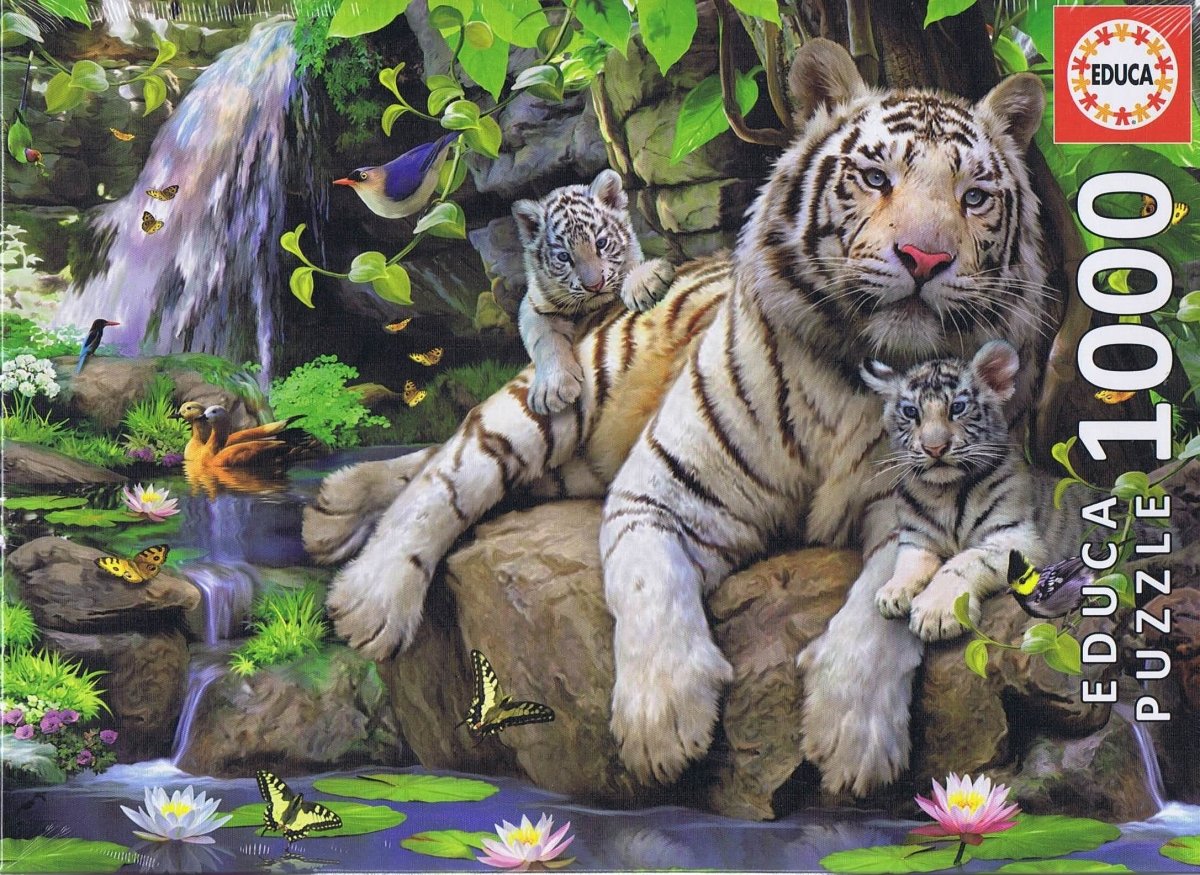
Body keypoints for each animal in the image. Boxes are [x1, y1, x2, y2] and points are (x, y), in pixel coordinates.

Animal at [514, 169, 676, 414]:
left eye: (601, 243)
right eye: (564, 257)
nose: (594, 285)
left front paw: (644, 283)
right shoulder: (534, 306)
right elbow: (545, 340)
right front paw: (552, 389)